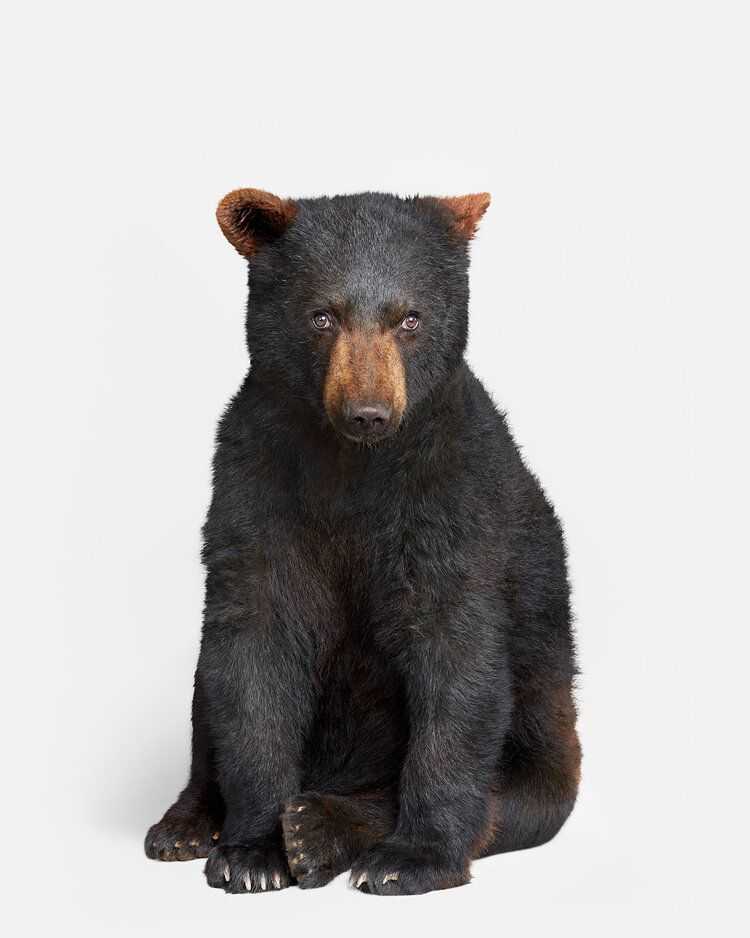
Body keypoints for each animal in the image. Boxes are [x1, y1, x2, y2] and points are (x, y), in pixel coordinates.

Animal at [144, 189, 581, 896]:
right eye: (322, 316)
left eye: (410, 318)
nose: (369, 412)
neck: (355, 467)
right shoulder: (255, 480)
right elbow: (254, 649)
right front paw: (252, 851)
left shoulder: (453, 495)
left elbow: (454, 652)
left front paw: (412, 857)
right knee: (208, 692)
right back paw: (187, 822)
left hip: (548, 722)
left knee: (516, 797)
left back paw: (324, 826)